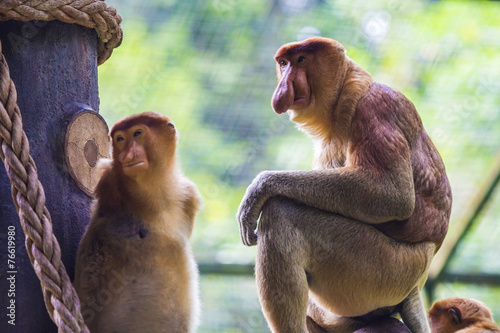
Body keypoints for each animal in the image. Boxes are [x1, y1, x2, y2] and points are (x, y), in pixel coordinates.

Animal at [238, 37, 454, 332]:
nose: (283, 88)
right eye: (283, 63)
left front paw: (259, 189)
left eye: (301, 60)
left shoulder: (375, 108)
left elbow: (392, 195)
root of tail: (415, 286)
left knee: (282, 214)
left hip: (383, 268)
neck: (344, 94)